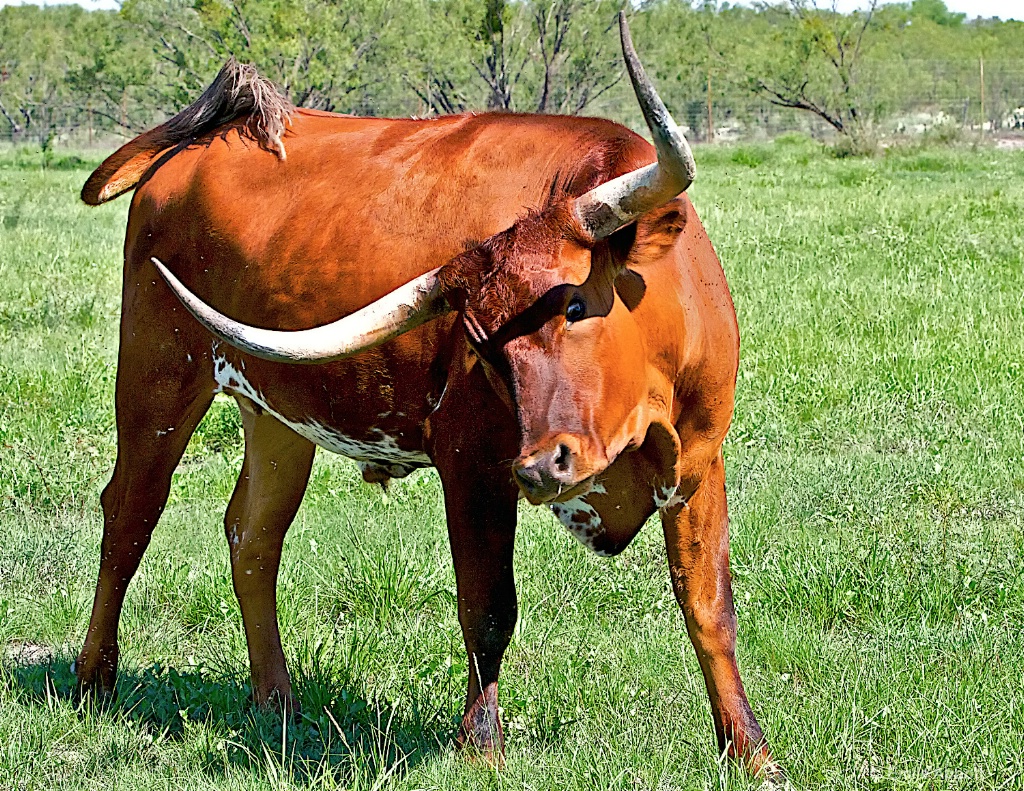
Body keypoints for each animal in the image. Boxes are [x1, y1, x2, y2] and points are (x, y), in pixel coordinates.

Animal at [77, 12, 774, 778]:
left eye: (575, 304)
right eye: (479, 343)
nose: (543, 466)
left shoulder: (699, 465)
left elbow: (709, 607)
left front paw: (750, 750)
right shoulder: (473, 467)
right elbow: (488, 608)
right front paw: (480, 744)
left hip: (276, 411)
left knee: (252, 533)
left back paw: (276, 700)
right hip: (158, 375)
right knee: (130, 511)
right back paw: (93, 680)